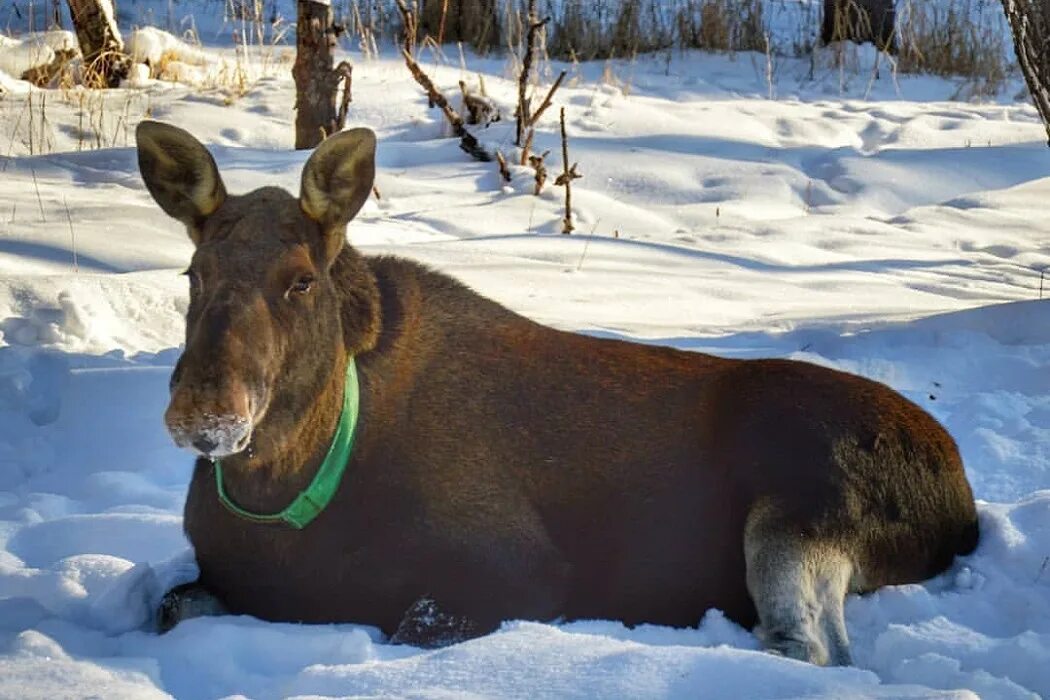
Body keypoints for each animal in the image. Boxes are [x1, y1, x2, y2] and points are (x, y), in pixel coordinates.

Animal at [137, 121, 974, 667]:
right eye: (194, 273)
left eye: (302, 280)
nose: (205, 411)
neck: (283, 492)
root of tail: (962, 499)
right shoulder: (230, 582)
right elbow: (168, 605)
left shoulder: (522, 572)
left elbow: (411, 623)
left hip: (801, 510)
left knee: (809, 647)